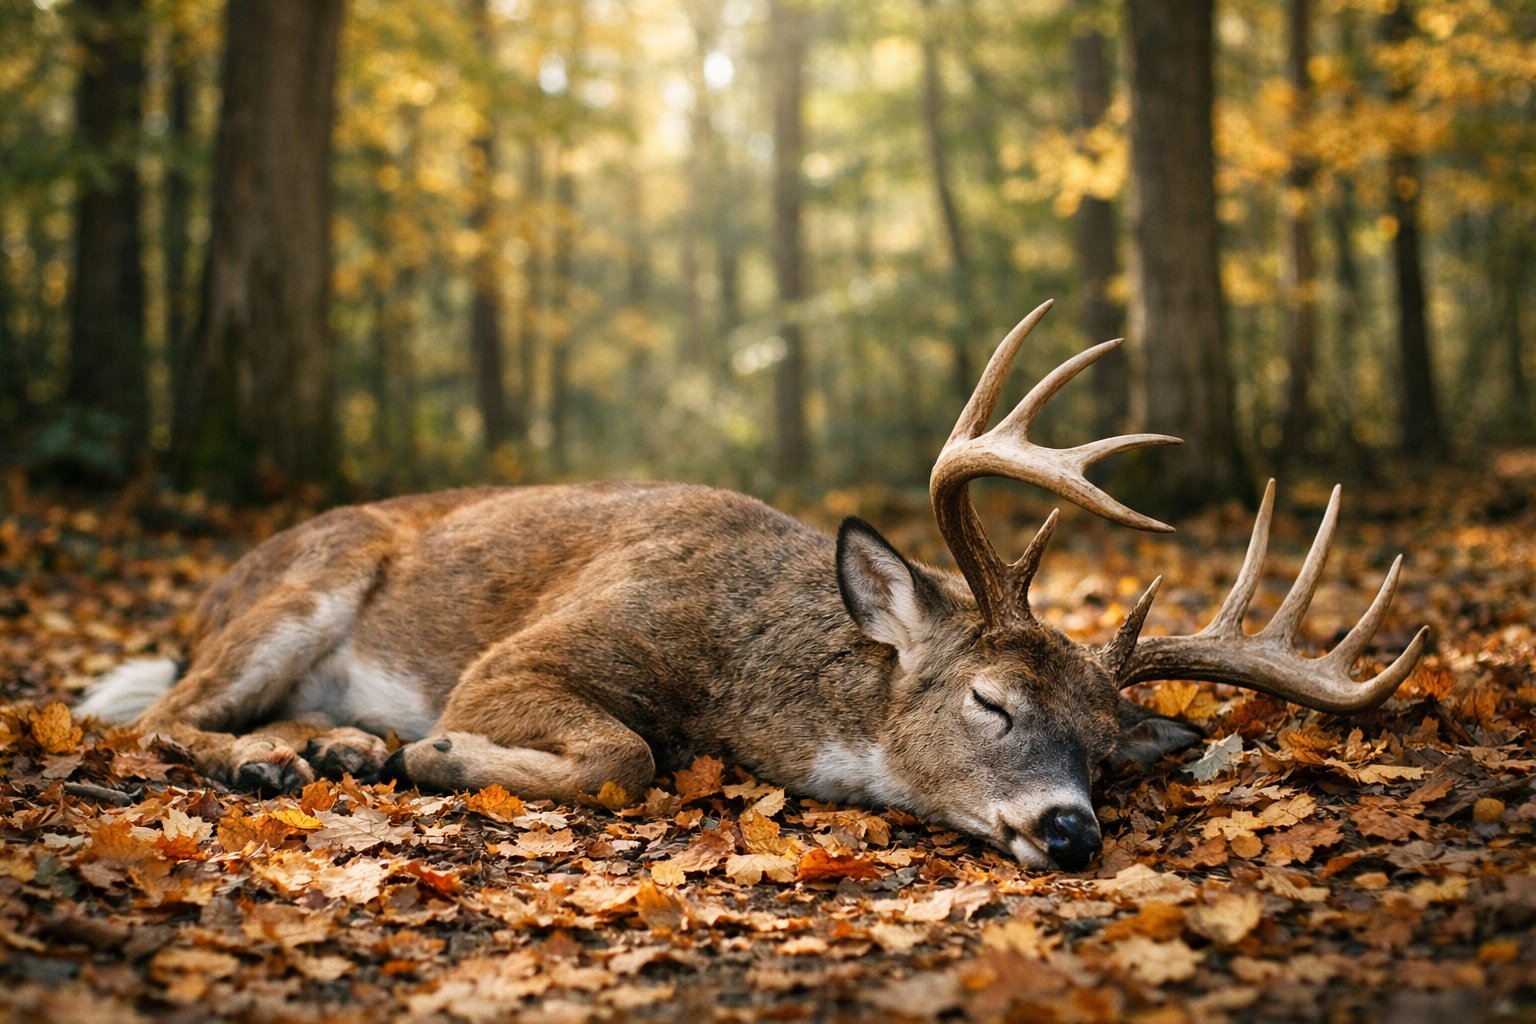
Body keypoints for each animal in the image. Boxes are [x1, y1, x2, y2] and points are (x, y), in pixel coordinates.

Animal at [78, 301, 1427, 871]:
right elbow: (625, 754)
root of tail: (210, 594)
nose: (1070, 829)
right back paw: (292, 759)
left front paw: (403, 751)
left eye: (1103, 749)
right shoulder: (520, 655)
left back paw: (334, 746)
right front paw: (441, 753)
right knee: (158, 717)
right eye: (989, 701)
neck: (738, 662)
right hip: (310, 581)